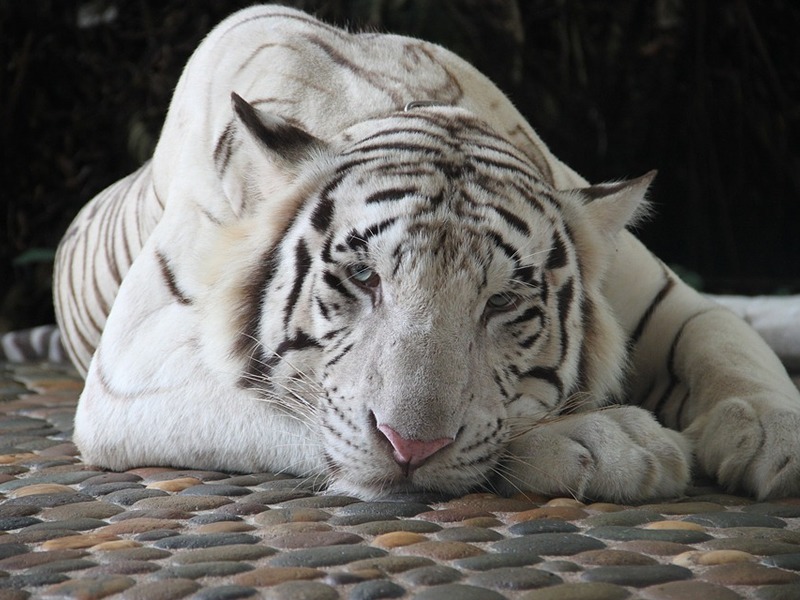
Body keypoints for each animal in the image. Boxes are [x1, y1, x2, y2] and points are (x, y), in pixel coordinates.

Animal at [54, 5, 800, 502]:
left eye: (503, 300)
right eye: (362, 277)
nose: (411, 447)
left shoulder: (668, 299)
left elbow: (726, 344)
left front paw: (777, 435)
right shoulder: (131, 366)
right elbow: (300, 406)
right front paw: (609, 441)